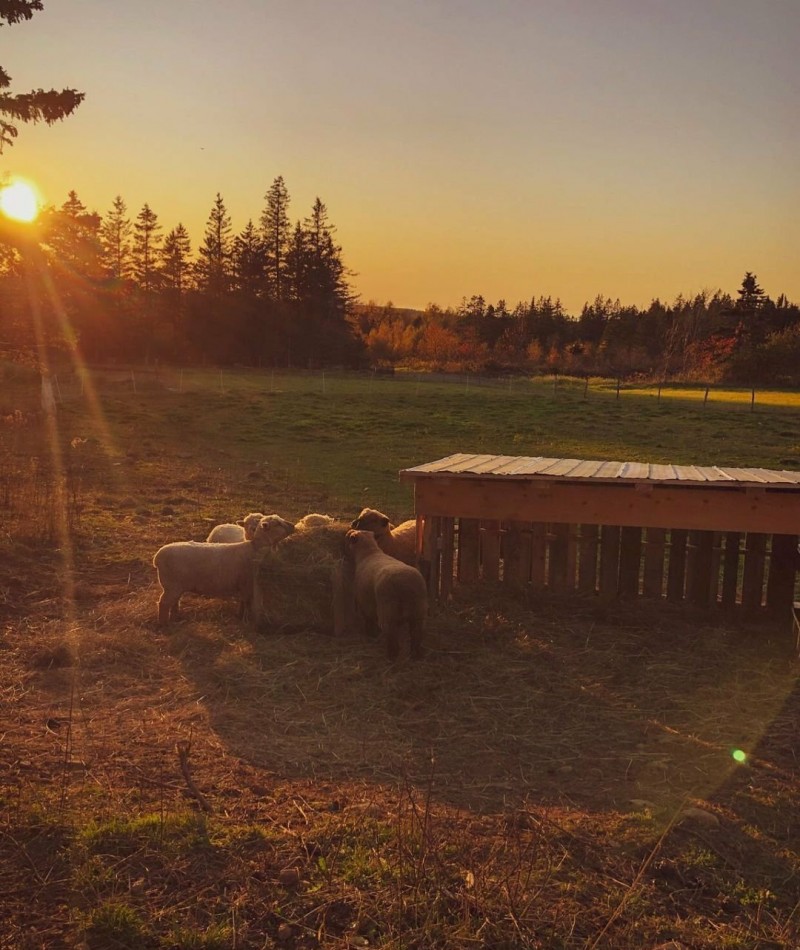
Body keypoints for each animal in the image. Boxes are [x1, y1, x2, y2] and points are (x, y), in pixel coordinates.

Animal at [152, 512, 296, 624]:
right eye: (278, 524)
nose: (293, 526)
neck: (255, 548)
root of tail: (157, 557)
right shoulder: (246, 584)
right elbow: (246, 602)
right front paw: (244, 617)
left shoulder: (244, 586)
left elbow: (243, 601)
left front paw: (240, 615)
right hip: (171, 585)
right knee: (164, 603)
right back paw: (164, 624)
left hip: (176, 586)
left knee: (174, 602)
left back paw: (176, 617)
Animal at [346, 528, 428, 660]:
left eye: (349, 537)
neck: (369, 553)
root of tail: (405, 586)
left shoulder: (365, 602)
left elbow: (369, 620)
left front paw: (370, 634)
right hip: (418, 612)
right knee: (416, 635)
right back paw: (415, 655)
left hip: (388, 611)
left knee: (392, 637)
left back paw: (391, 657)